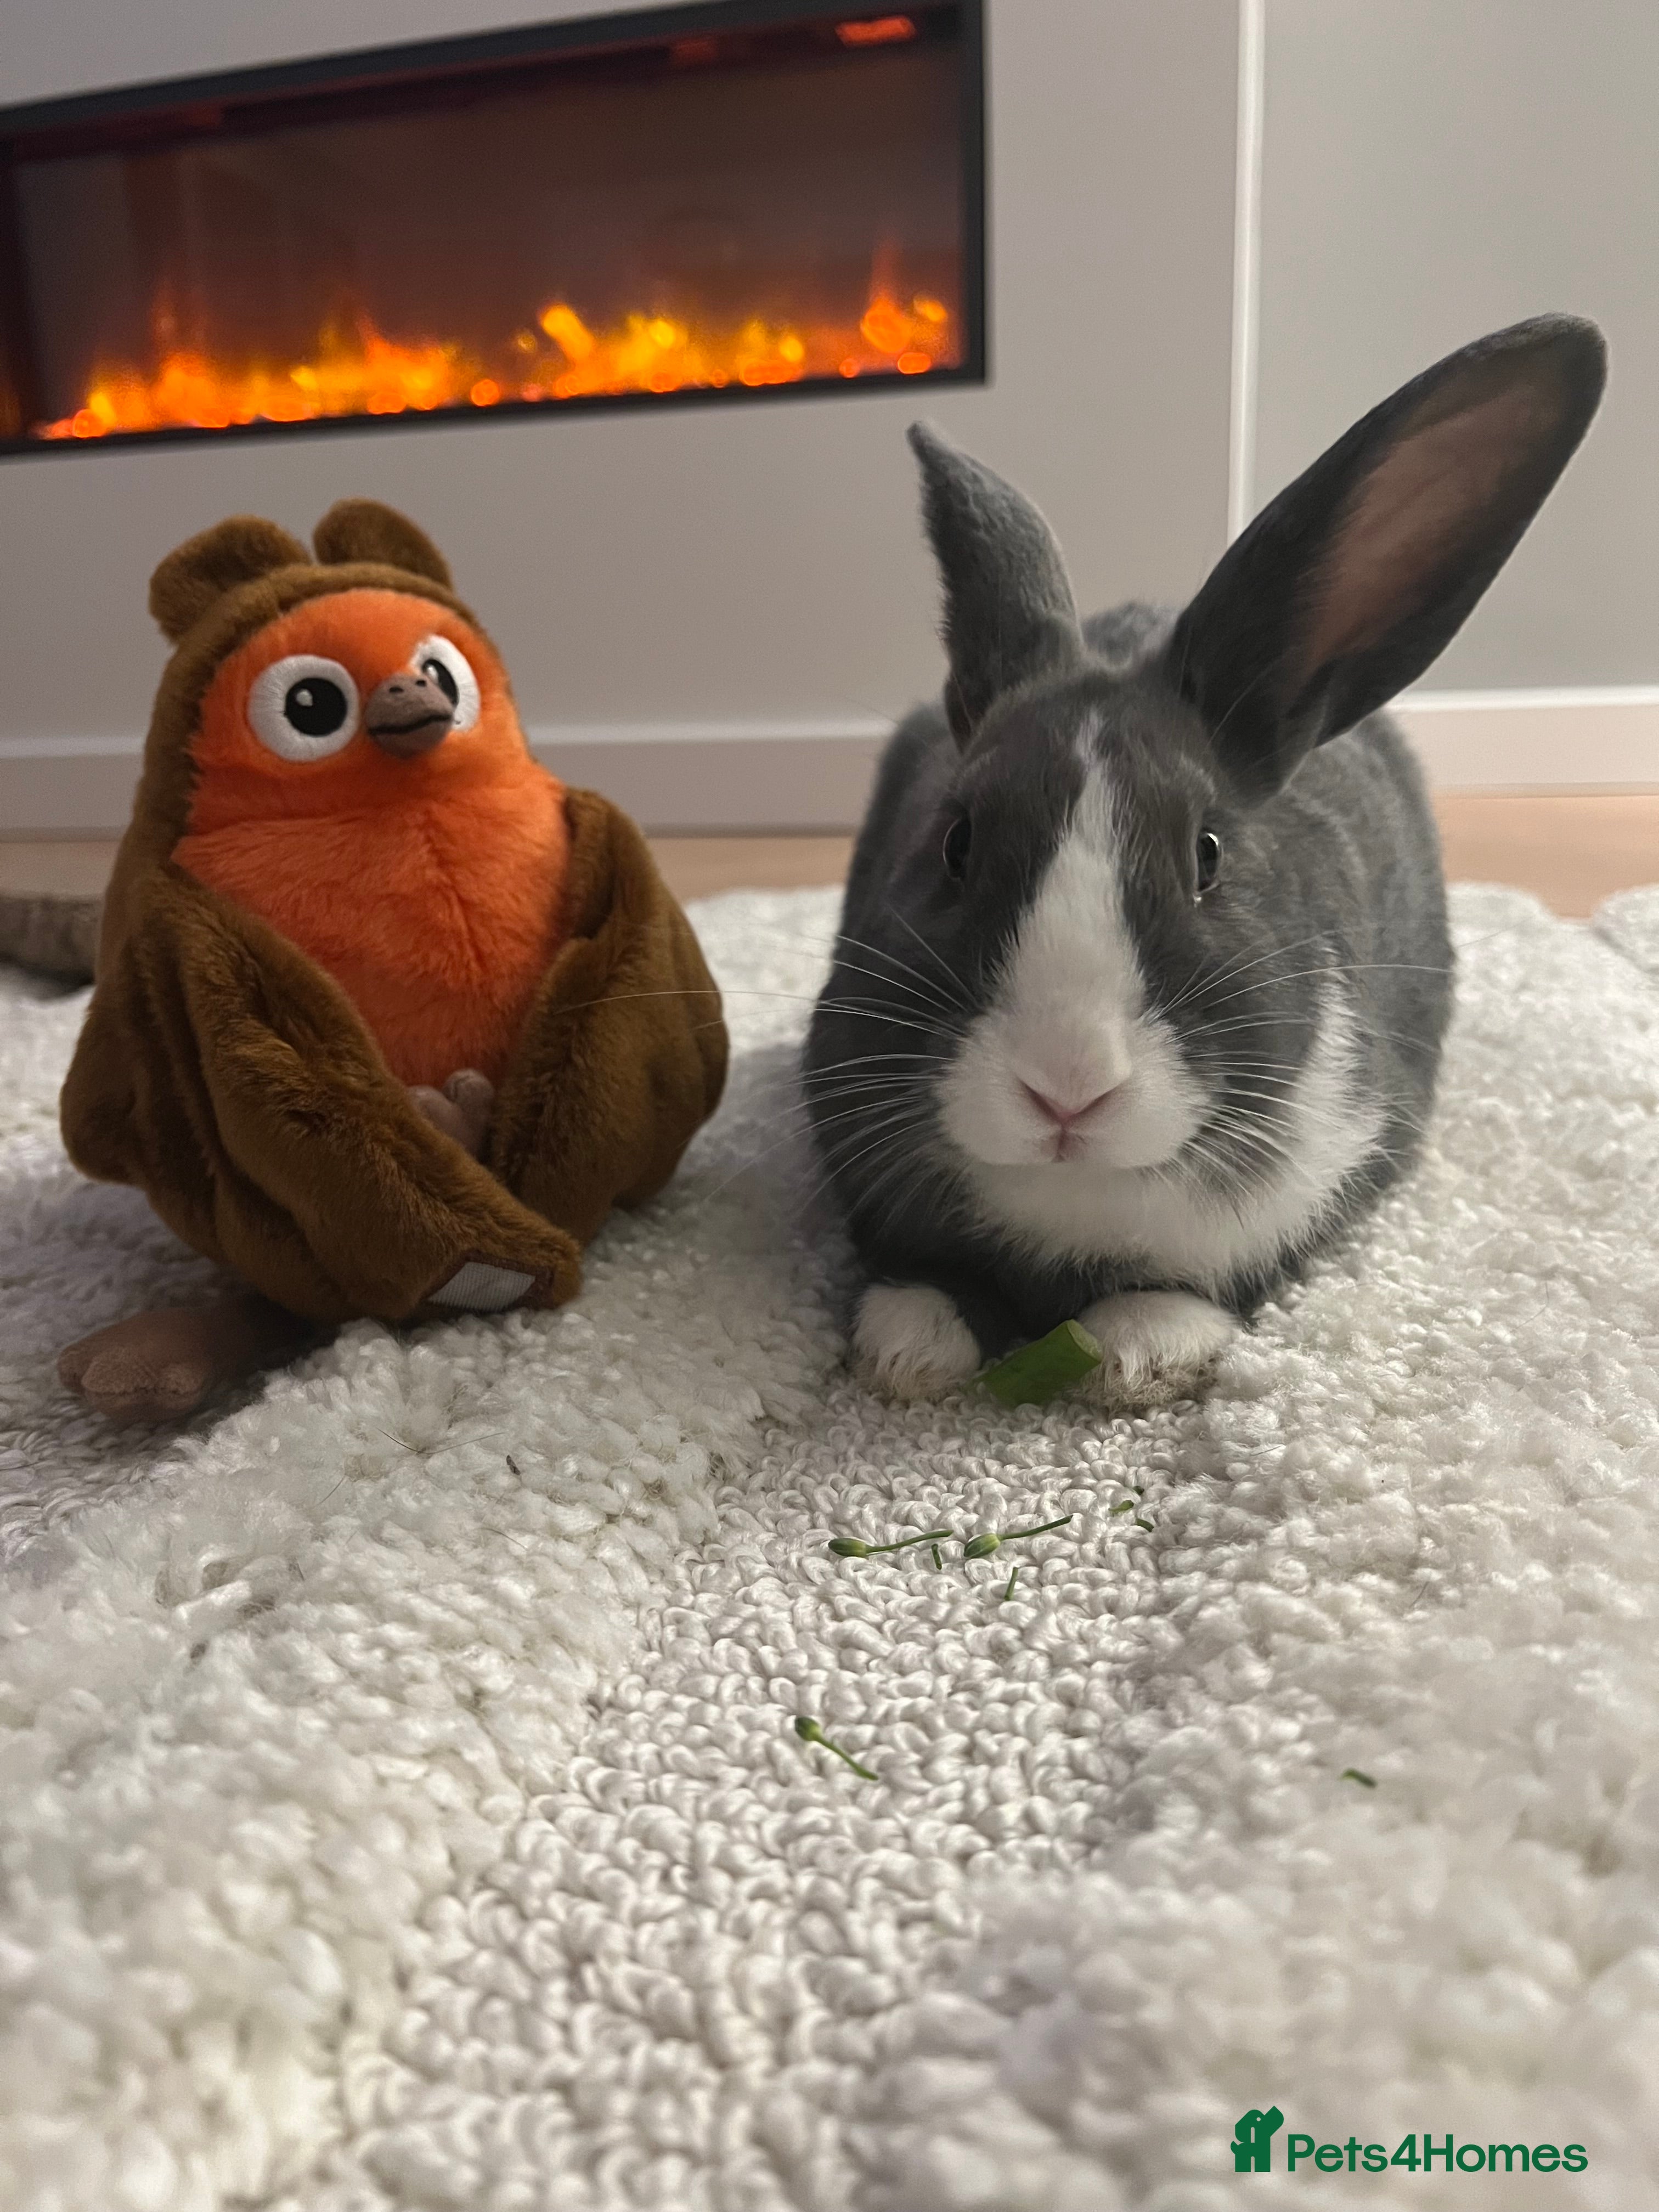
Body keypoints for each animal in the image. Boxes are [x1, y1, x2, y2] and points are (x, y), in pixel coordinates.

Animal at [804, 314, 1606, 1405]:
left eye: (1209, 855)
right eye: (955, 840)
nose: (1065, 1089)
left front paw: (1143, 1349)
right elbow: (915, 1264)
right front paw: (911, 1345)